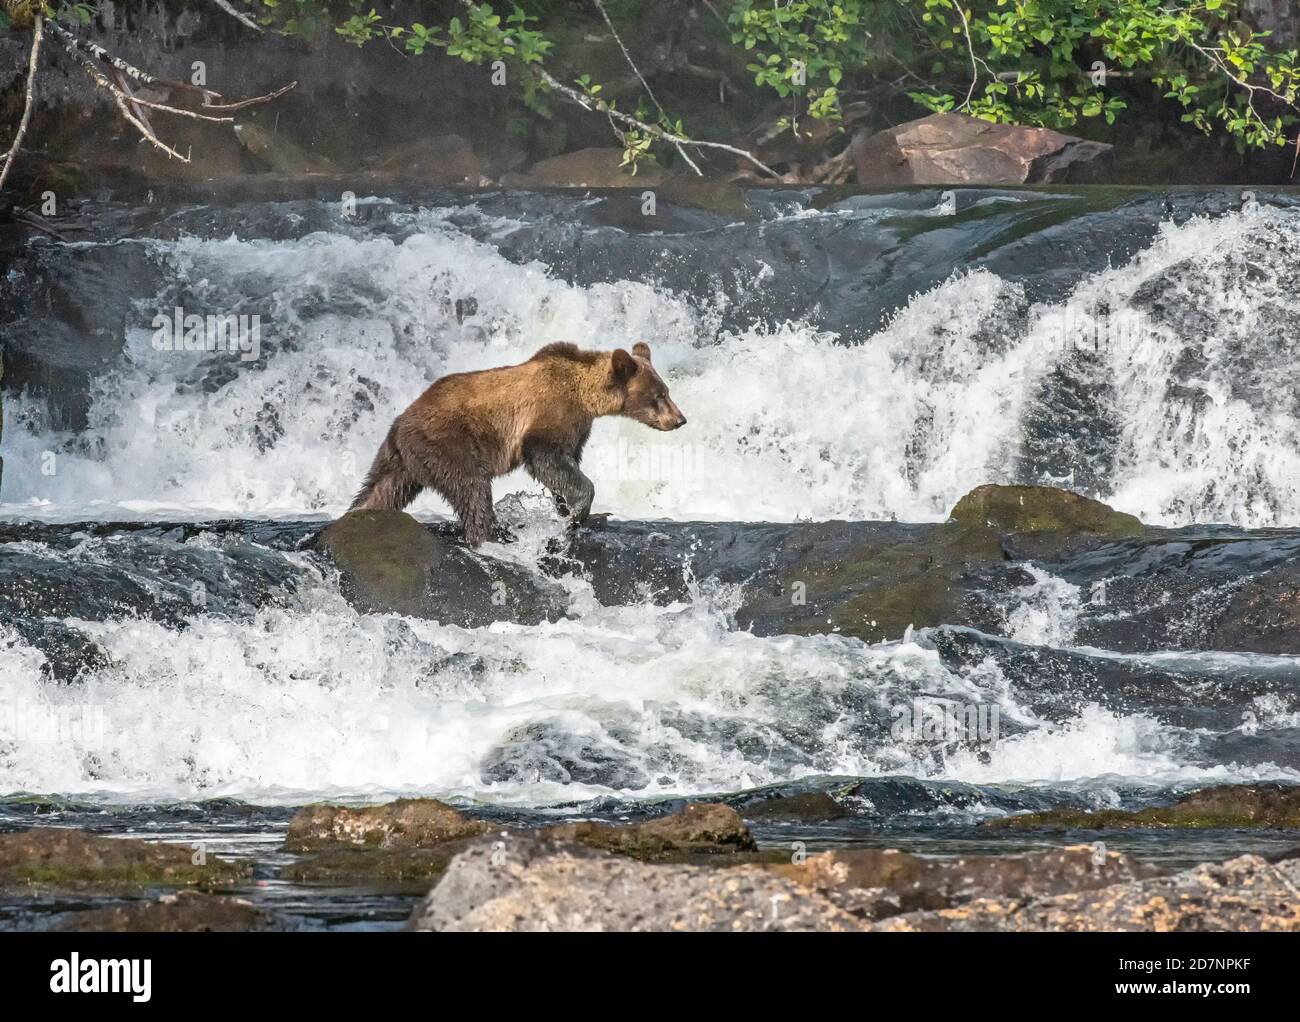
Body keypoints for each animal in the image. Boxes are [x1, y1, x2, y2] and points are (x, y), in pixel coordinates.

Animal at [345, 340, 691, 540]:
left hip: (399, 460)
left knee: (380, 490)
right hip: (446, 442)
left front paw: (573, 511)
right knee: (471, 486)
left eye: (666, 390)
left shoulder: (577, 428)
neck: (586, 397)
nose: (680, 419)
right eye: (659, 395)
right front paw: (580, 510)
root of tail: (400, 424)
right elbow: (547, 460)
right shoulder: (549, 414)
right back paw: (491, 533)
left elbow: (565, 467)